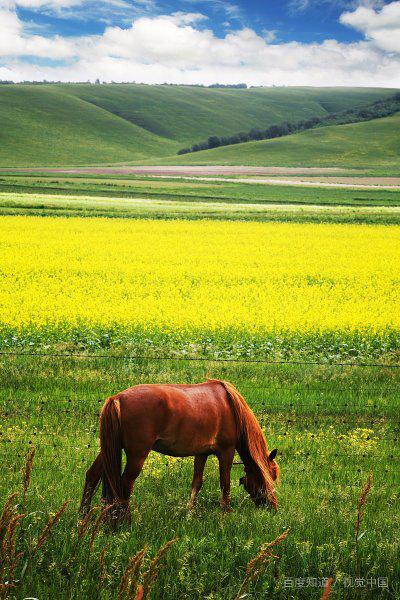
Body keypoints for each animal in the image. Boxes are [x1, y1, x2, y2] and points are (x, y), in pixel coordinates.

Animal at [78, 380, 278, 524]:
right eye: (271, 476)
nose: (273, 508)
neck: (231, 406)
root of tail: (117, 398)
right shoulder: (226, 451)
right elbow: (225, 484)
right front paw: (226, 513)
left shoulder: (201, 453)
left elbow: (197, 483)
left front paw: (189, 513)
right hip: (137, 454)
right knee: (125, 485)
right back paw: (125, 522)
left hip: (109, 450)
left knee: (92, 475)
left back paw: (82, 518)